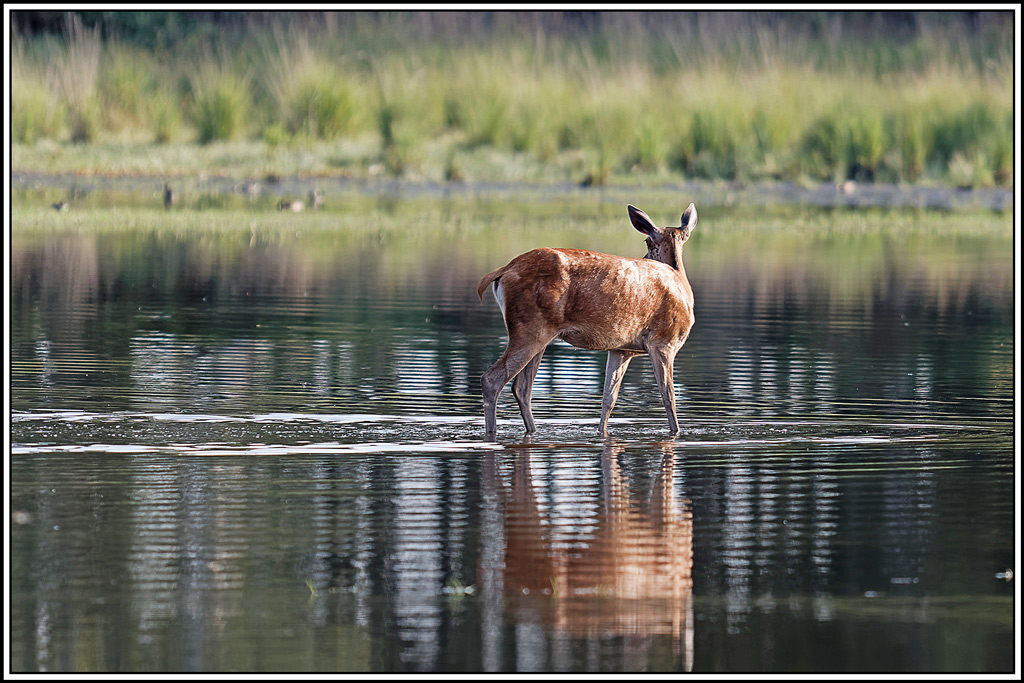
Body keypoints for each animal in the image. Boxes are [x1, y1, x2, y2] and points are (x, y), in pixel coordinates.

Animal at [477, 203, 697, 438]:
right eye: (646, 240)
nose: (644, 256)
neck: (681, 281)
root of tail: (503, 271)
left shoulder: (621, 349)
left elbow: (609, 398)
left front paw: (601, 433)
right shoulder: (664, 341)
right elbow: (669, 397)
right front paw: (676, 433)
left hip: (539, 335)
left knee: (521, 388)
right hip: (529, 328)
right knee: (492, 380)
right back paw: (492, 433)